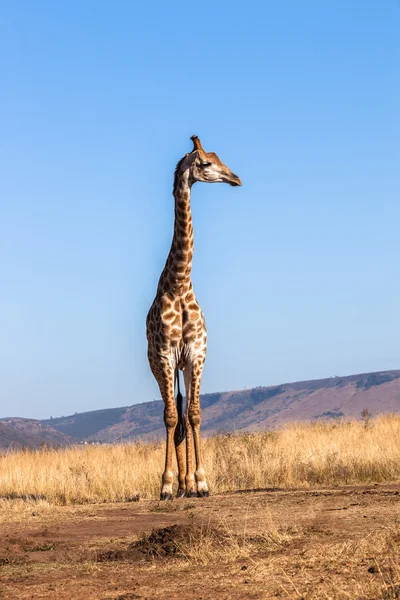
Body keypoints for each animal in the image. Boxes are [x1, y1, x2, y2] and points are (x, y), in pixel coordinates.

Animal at [146, 136, 241, 502]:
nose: (235, 178)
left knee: (186, 415)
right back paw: (176, 484)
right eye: (205, 164)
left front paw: (200, 481)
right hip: (160, 368)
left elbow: (195, 415)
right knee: (173, 415)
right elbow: (171, 417)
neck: (180, 282)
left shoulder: (196, 355)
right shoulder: (166, 357)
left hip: (183, 367)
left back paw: (187, 483)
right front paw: (166, 484)